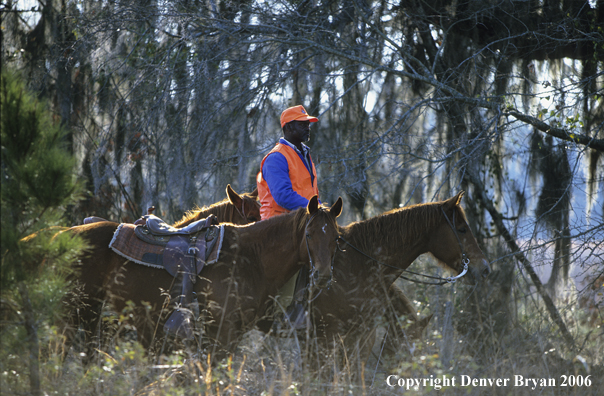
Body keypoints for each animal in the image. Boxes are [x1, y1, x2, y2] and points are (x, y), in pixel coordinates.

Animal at [71, 195, 342, 358]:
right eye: (309, 234)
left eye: (336, 237)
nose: (322, 276)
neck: (250, 257)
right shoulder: (221, 332)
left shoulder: (233, 334)